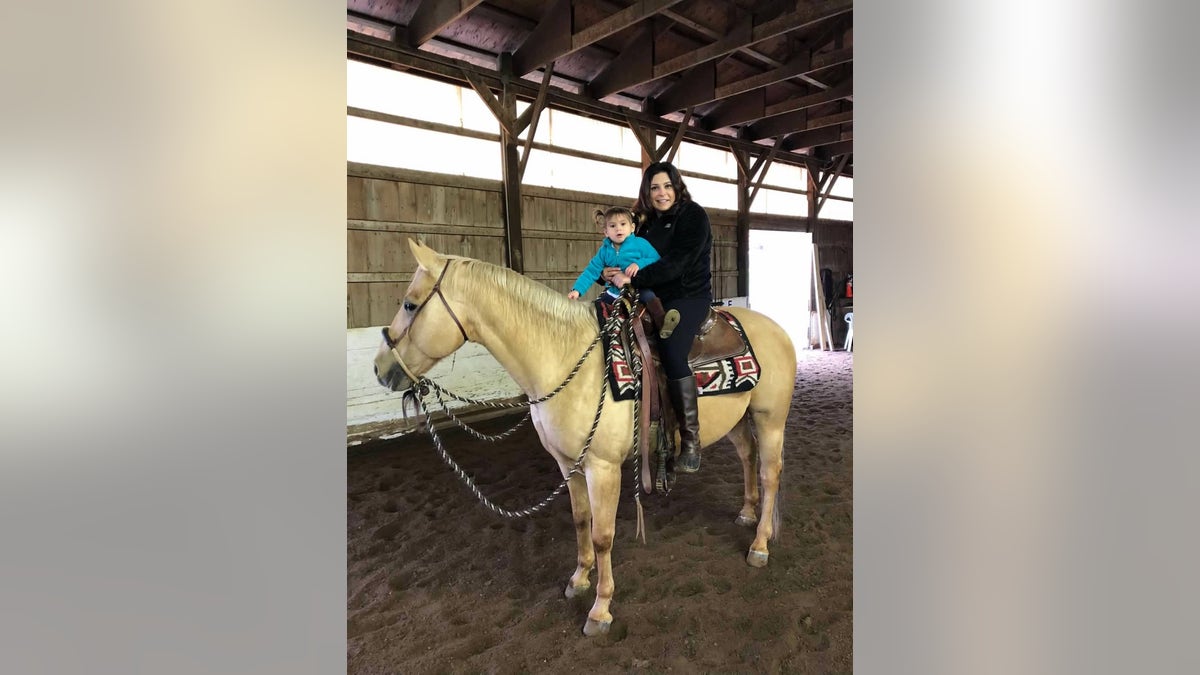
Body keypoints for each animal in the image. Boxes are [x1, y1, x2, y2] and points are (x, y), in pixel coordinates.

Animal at [374, 239, 796, 634]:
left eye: (410, 305)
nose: (381, 368)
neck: (565, 359)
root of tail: (777, 329)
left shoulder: (602, 468)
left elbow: (603, 534)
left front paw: (600, 609)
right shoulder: (568, 464)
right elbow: (580, 522)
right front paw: (578, 580)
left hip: (770, 419)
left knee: (770, 472)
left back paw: (759, 544)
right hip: (738, 420)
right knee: (747, 457)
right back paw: (746, 513)